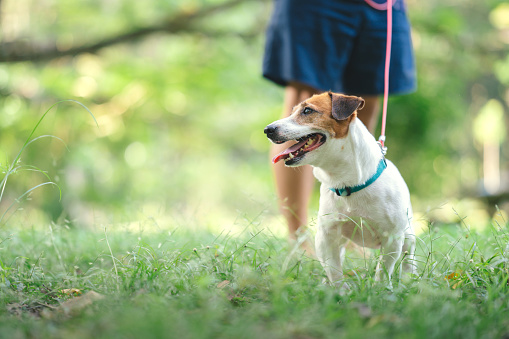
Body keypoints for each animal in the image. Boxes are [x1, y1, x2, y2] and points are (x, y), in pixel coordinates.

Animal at [264, 91, 414, 288]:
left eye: (307, 110)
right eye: (292, 111)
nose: (268, 129)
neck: (348, 183)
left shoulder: (392, 238)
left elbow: (383, 270)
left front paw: (380, 289)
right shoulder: (326, 237)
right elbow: (334, 271)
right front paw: (339, 290)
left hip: (408, 235)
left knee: (409, 256)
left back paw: (411, 277)